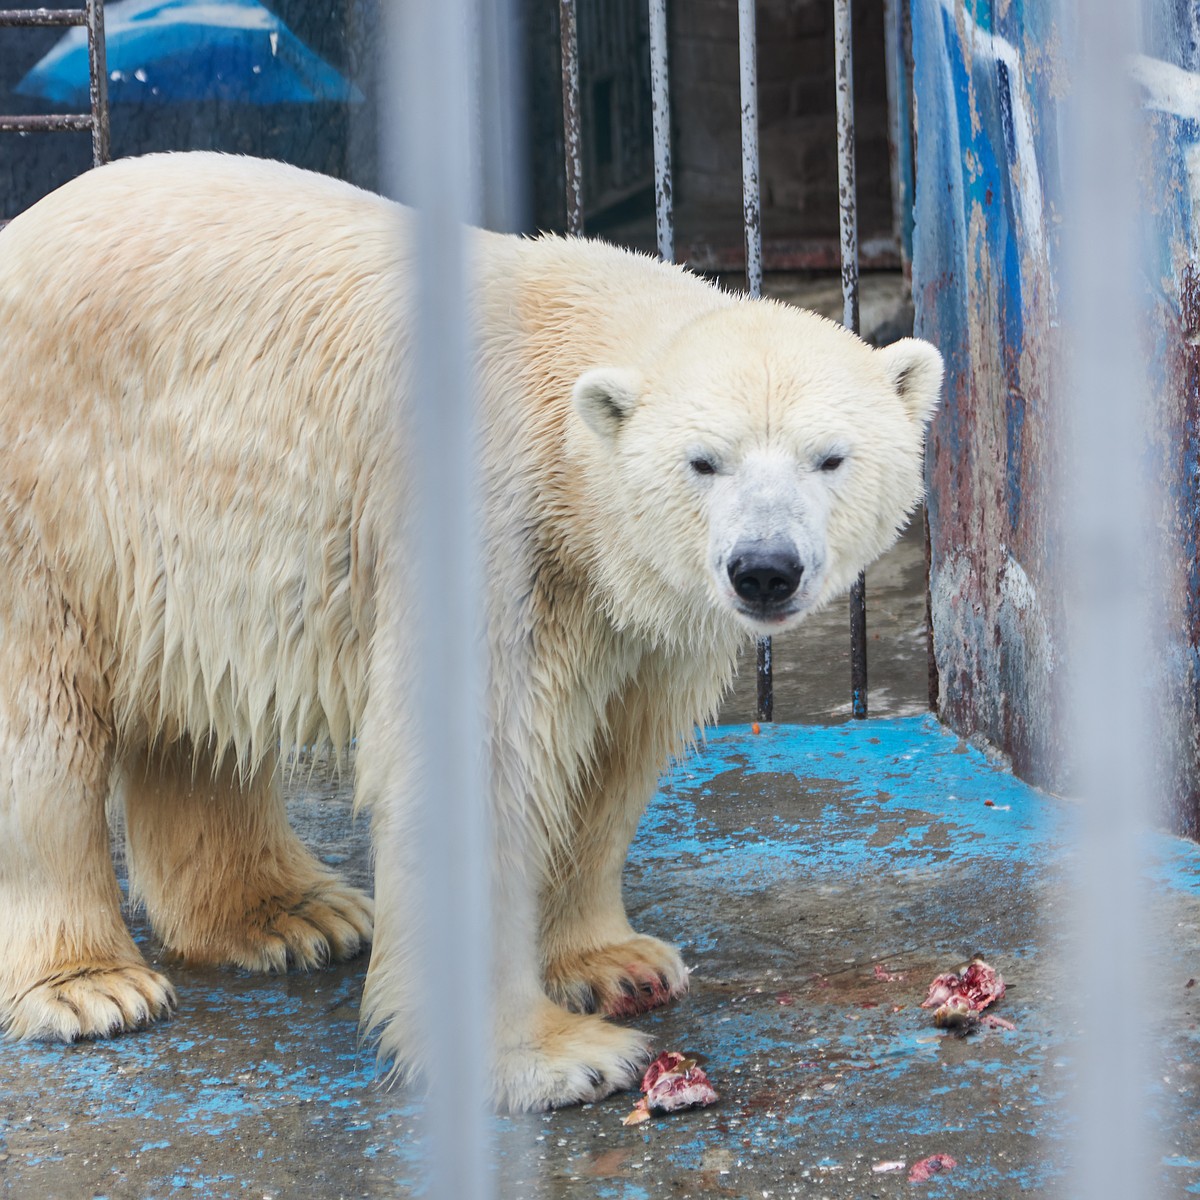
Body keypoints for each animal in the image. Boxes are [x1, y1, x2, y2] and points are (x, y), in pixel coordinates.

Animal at [0, 154, 940, 1108]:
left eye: (831, 457)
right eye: (702, 462)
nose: (763, 567)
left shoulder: (632, 621)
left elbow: (610, 761)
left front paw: (617, 964)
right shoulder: (492, 539)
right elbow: (476, 765)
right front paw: (553, 1057)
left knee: (195, 716)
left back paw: (294, 914)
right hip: (53, 498)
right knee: (42, 731)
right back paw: (90, 985)